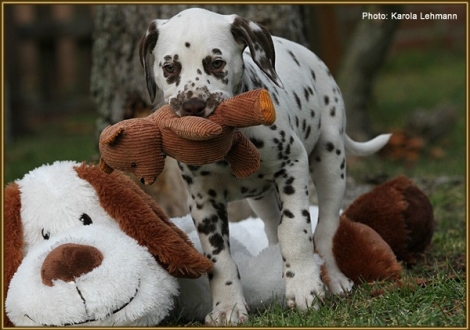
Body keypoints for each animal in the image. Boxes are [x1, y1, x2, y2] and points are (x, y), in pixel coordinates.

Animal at [139, 7, 390, 324]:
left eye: (217, 63)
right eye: (169, 67)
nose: (193, 106)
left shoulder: (292, 168)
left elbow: (295, 230)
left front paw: (304, 288)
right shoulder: (202, 201)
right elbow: (219, 258)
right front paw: (227, 307)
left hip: (331, 163)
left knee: (325, 228)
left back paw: (333, 278)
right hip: (260, 198)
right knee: (271, 226)